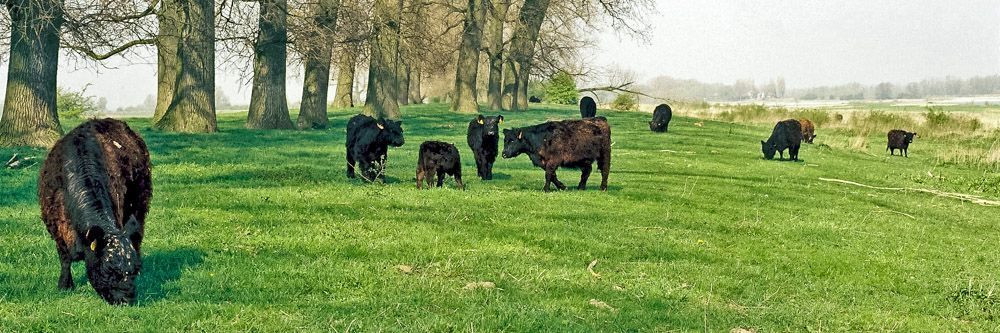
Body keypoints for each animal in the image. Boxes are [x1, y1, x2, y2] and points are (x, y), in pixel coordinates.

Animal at [38, 118, 151, 304]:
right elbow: (64, 258)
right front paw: (65, 285)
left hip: (139, 206)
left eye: (133, 270)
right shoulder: (56, 228)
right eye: (108, 269)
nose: (126, 299)